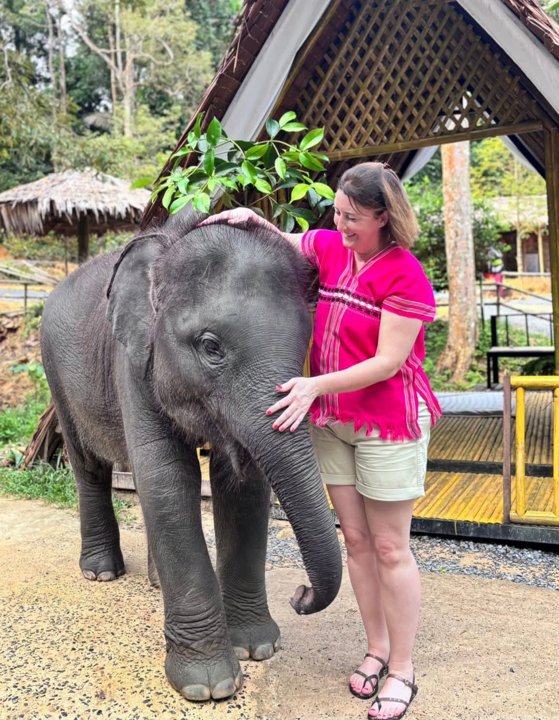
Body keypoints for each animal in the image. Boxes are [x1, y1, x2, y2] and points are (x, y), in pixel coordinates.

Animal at [40, 211, 342, 702]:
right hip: (56, 374)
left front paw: (257, 649)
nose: (300, 596)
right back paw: (101, 573)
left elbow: (242, 486)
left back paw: (153, 582)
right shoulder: (131, 361)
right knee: (89, 467)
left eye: (304, 347)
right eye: (210, 346)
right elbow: (167, 477)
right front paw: (209, 686)